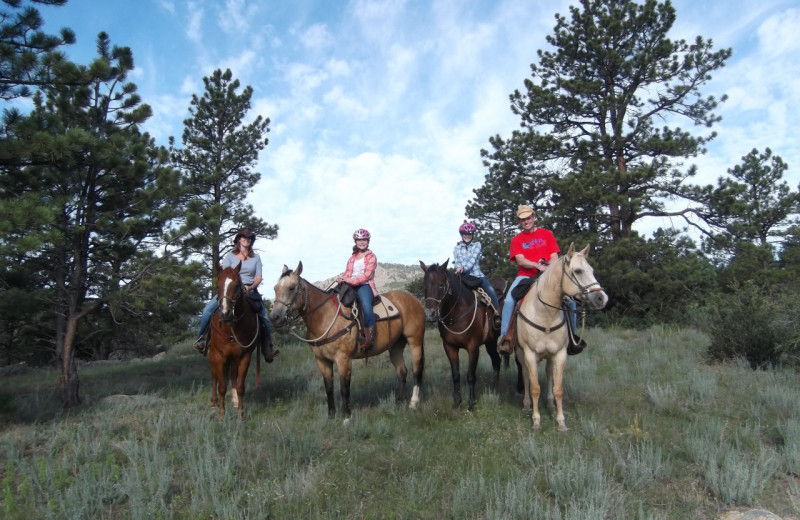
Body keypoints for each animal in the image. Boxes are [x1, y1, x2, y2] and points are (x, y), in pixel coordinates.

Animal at [206, 262, 262, 420]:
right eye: (217, 285)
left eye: (237, 285)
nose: (225, 313)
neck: (231, 329)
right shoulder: (219, 357)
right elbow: (222, 387)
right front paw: (221, 416)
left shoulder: (244, 356)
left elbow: (241, 386)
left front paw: (241, 414)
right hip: (212, 356)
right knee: (214, 376)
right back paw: (213, 404)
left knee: (232, 375)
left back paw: (235, 401)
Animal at [268, 262, 428, 420]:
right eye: (275, 288)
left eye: (291, 288)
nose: (275, 317)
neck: (325, 316)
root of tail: (415, 300)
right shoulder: (321, 360)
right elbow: (329, 388)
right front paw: (331, 416)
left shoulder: (343, 359)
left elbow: (344, 389)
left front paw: (346, 418)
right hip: (395, 346)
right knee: (402, 372)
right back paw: (399, 402)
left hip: (415, 341)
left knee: (416, 370)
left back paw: (413, 403)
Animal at [418, 258, 500, 410]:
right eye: (424, 286)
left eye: (441, 285)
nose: (430, 314)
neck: (458, 313)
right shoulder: (449, 347)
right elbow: (455, 375)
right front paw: (457, 402)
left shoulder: (473, 348)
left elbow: (471, 376)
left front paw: (471, 404)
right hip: (489, 343)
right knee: (496, 361)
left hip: (492, 341)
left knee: (497, 362)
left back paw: (495, 388)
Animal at [512, 244, 608, 430]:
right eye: (578, 271)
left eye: (592, 270)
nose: (602, 298)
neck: (546, 313)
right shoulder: (529, 353)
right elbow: (535, 387)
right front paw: (536, 420)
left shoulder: (560, 353)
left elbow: (558, 388)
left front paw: (561, 421)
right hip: (521, 353)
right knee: (526, 376)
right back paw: (526, 404)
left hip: (549, 355)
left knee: (549, 373)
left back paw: (550, 403)